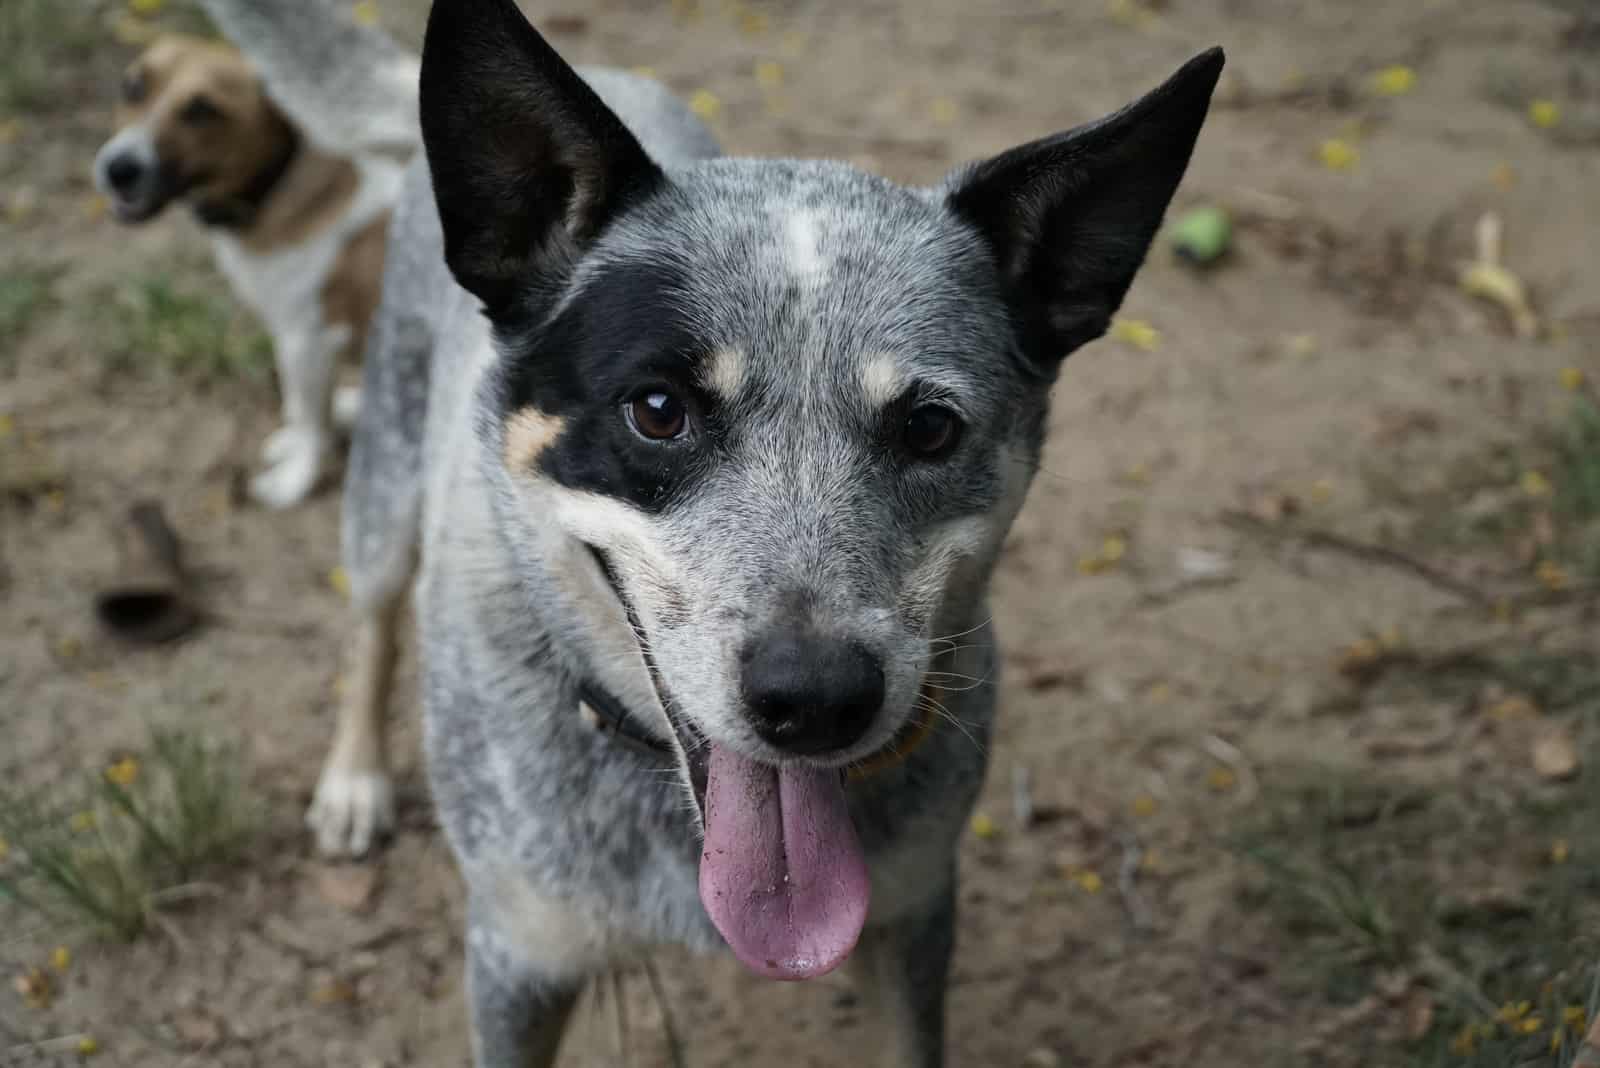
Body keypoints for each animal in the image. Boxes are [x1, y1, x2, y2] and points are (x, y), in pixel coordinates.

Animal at [93, 35, 406, 511]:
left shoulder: (304, 341)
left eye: (202, 110)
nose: (119, 169)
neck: (274, 185)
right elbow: (305, 412)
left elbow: (307, 419)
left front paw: (295, 480)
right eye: (134, 88)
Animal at [206, 0, 1216, 1061]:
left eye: (930, 428)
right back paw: (353, 781)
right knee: (370, 622)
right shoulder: (519, 959)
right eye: (658, 410)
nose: (814, 699)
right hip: (386, 486)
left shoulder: (912, 920)